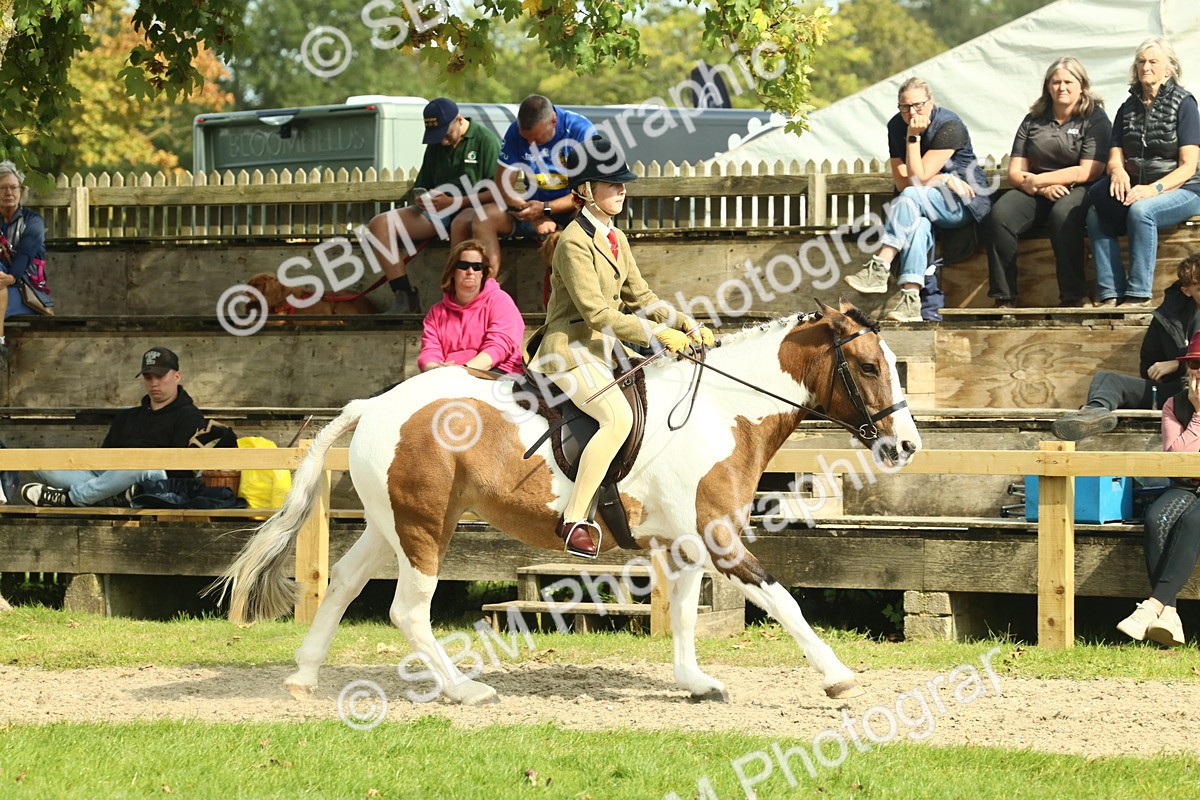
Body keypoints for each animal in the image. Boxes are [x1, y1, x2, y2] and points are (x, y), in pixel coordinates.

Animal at [217, 299, 921, 705]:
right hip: (422, 529)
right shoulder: (717, 538)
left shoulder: (686, 543)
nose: (907, 445)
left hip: (392, 524)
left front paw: (695, 683)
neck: (724, 411)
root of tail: (375, 404)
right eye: (866, 367)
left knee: (341, 584)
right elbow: (783, 601)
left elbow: (685, 615)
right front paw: (837, 676)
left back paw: (304, 678)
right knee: (407, 610)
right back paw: (464, 690)